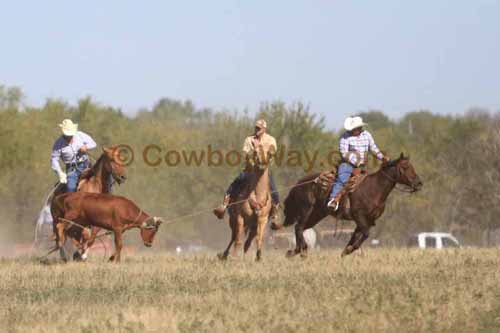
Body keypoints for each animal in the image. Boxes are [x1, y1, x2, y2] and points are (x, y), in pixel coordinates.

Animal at [274, 153, 422, 256]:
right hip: (306, 210)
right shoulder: (359, 216)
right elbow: (365, 234)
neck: (373, 189)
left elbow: (356, 236)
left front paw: (346, 251)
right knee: (299, 227)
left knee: (301, 228)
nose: (419, 183)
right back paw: (301, 250)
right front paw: (349, 249)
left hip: (317, 214)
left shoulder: (367, 220)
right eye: (405, 167)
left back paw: (295, 251)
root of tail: (299, 183)